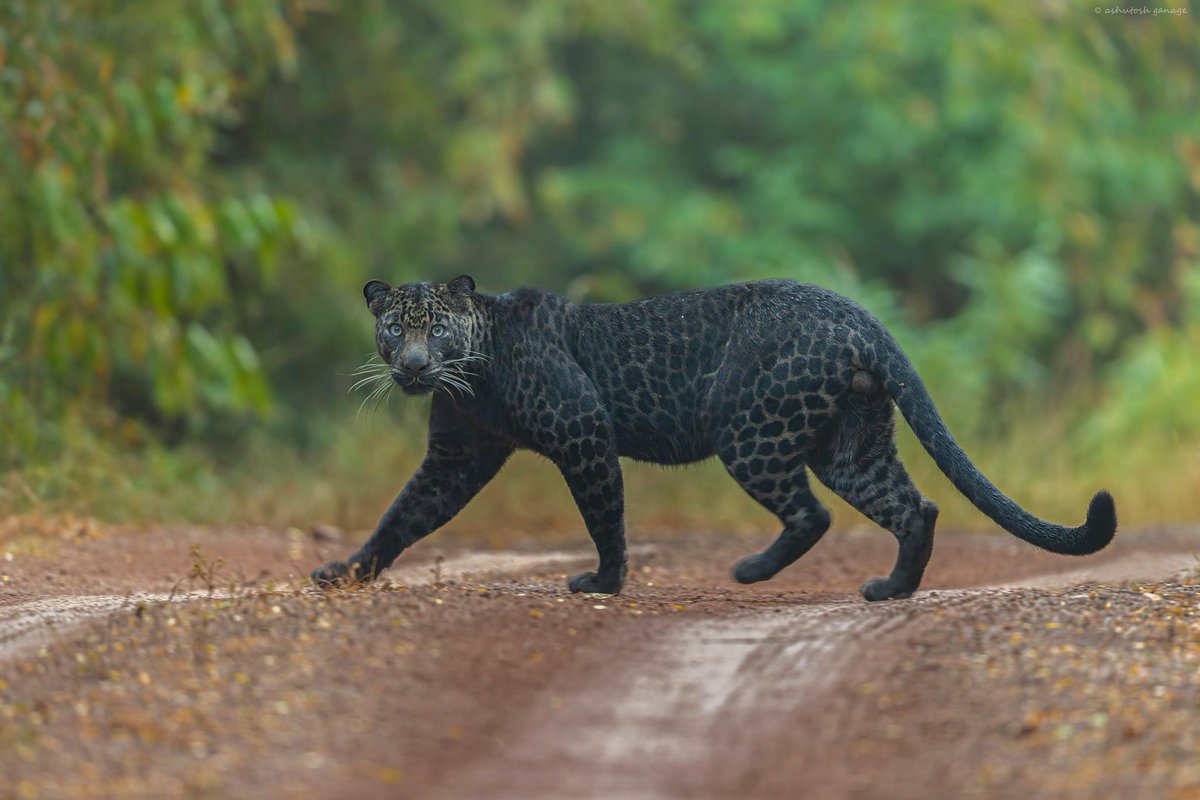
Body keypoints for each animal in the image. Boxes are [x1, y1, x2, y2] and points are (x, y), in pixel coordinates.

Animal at [312, 275, 1116, 600]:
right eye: (395, 329)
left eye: (436, 329)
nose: (415, 366)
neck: (474, 379)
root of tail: (857, 314)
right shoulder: (458, 454)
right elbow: (403, 515)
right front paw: (346, 571)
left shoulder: (582, 430)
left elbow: (603, 515)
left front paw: (603, 582)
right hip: (850, 444)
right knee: (912, 506)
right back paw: (890, 590)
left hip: (753, 432)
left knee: (812, 512)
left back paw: (751, 572)